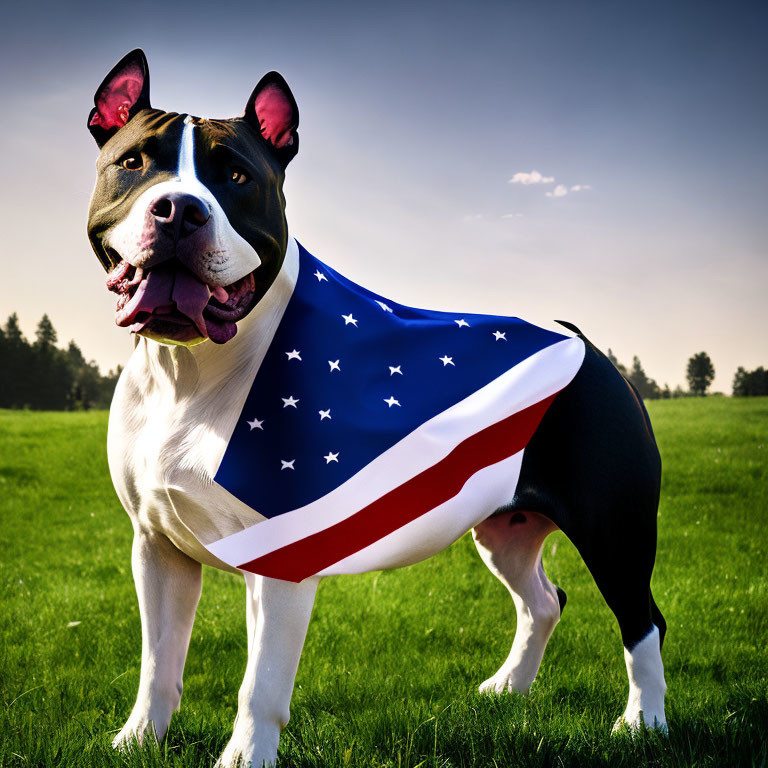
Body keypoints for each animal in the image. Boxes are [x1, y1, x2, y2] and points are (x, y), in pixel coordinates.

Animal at [87, 49, 668, 768]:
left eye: (236, 177)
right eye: (134, 162)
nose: (177, 210)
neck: (191, 370)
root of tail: (578, 338)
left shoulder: (278, 555)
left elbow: (260, 682)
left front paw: (244, 757)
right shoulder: (158, 545)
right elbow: (159, 659)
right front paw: (139, 739)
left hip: (614, 527)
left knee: (641, 620)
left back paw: (643, 724)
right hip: (504, 524)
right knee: (544, 601)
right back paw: (508, 689)